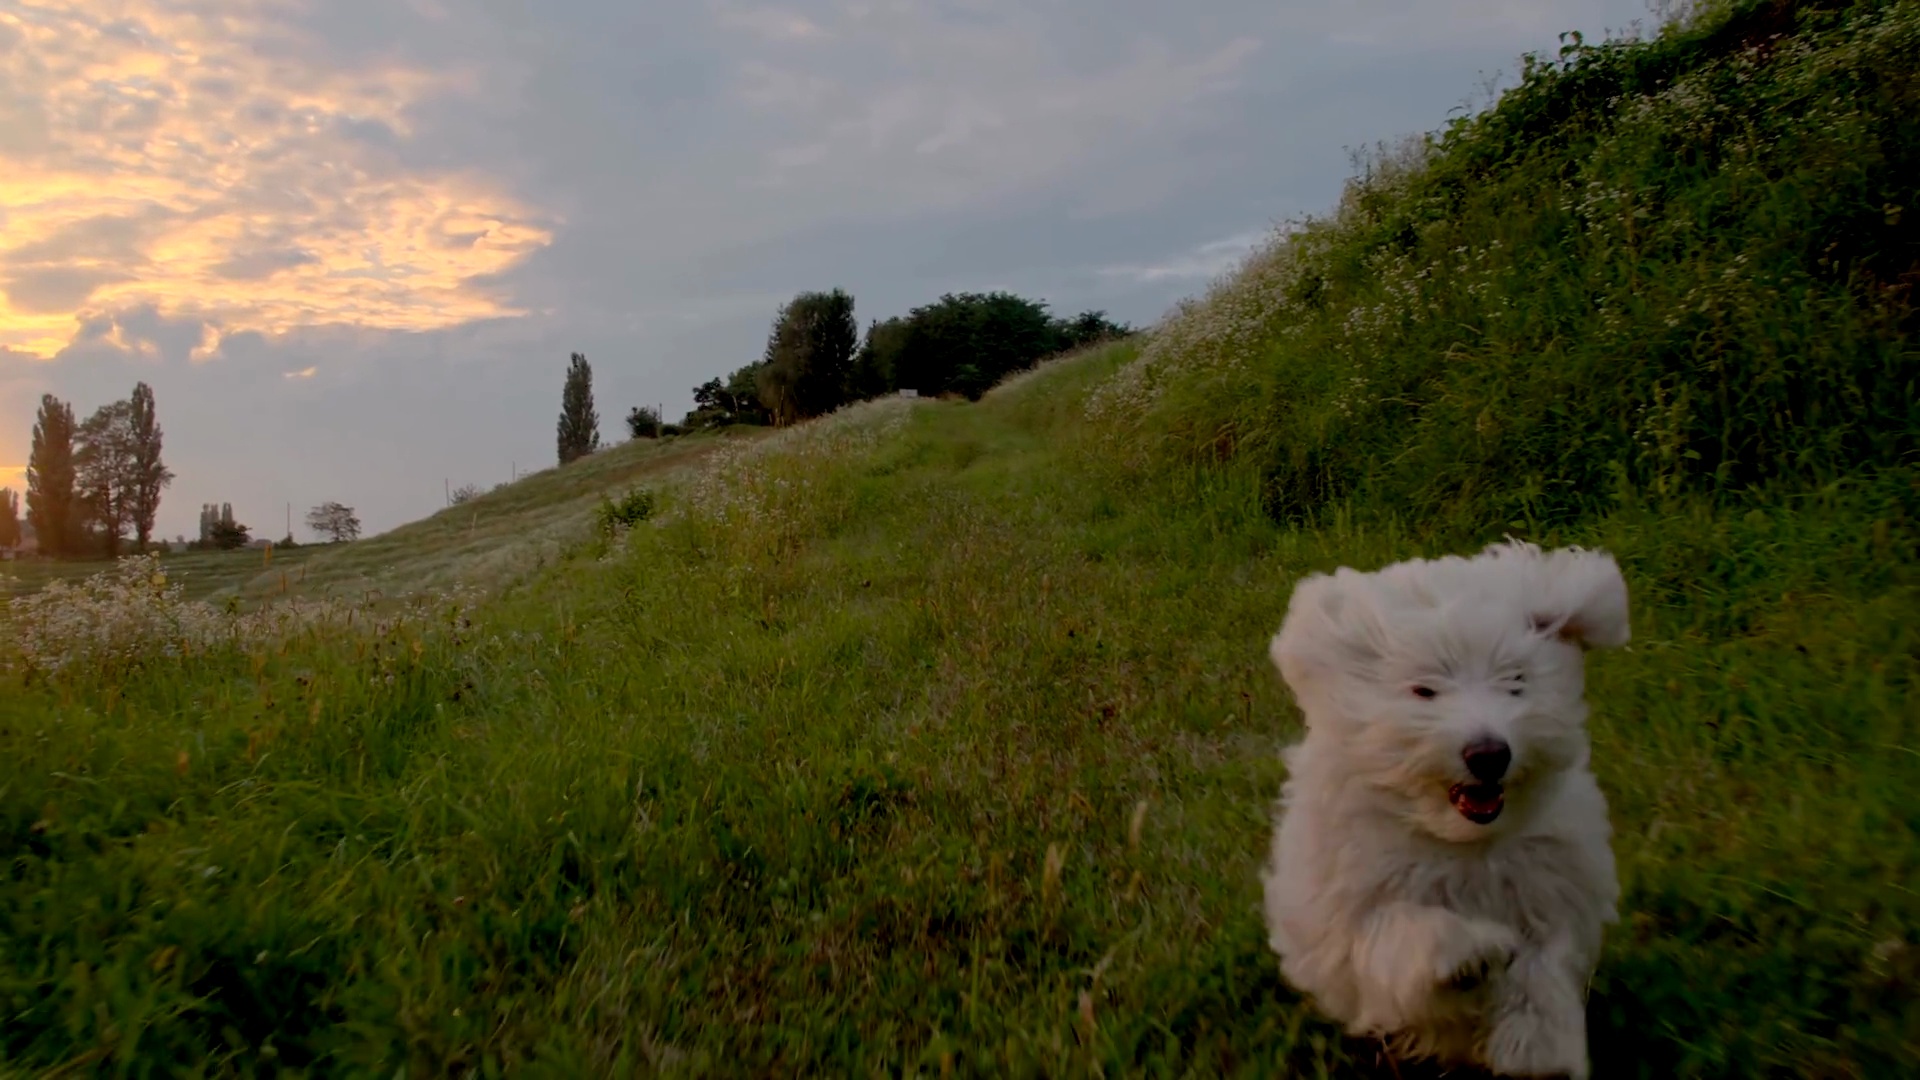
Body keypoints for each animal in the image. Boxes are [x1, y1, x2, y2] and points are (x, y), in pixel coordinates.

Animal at [1259, 538, 1635, 1076]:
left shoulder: (1553, 887)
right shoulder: (1352, 912)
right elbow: (1400, 928)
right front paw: (1472, 951)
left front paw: (1537, 1047)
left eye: (1515, 682)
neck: (1462, 842)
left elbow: (1542, 966)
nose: (1489, 753)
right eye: (1425, 690)